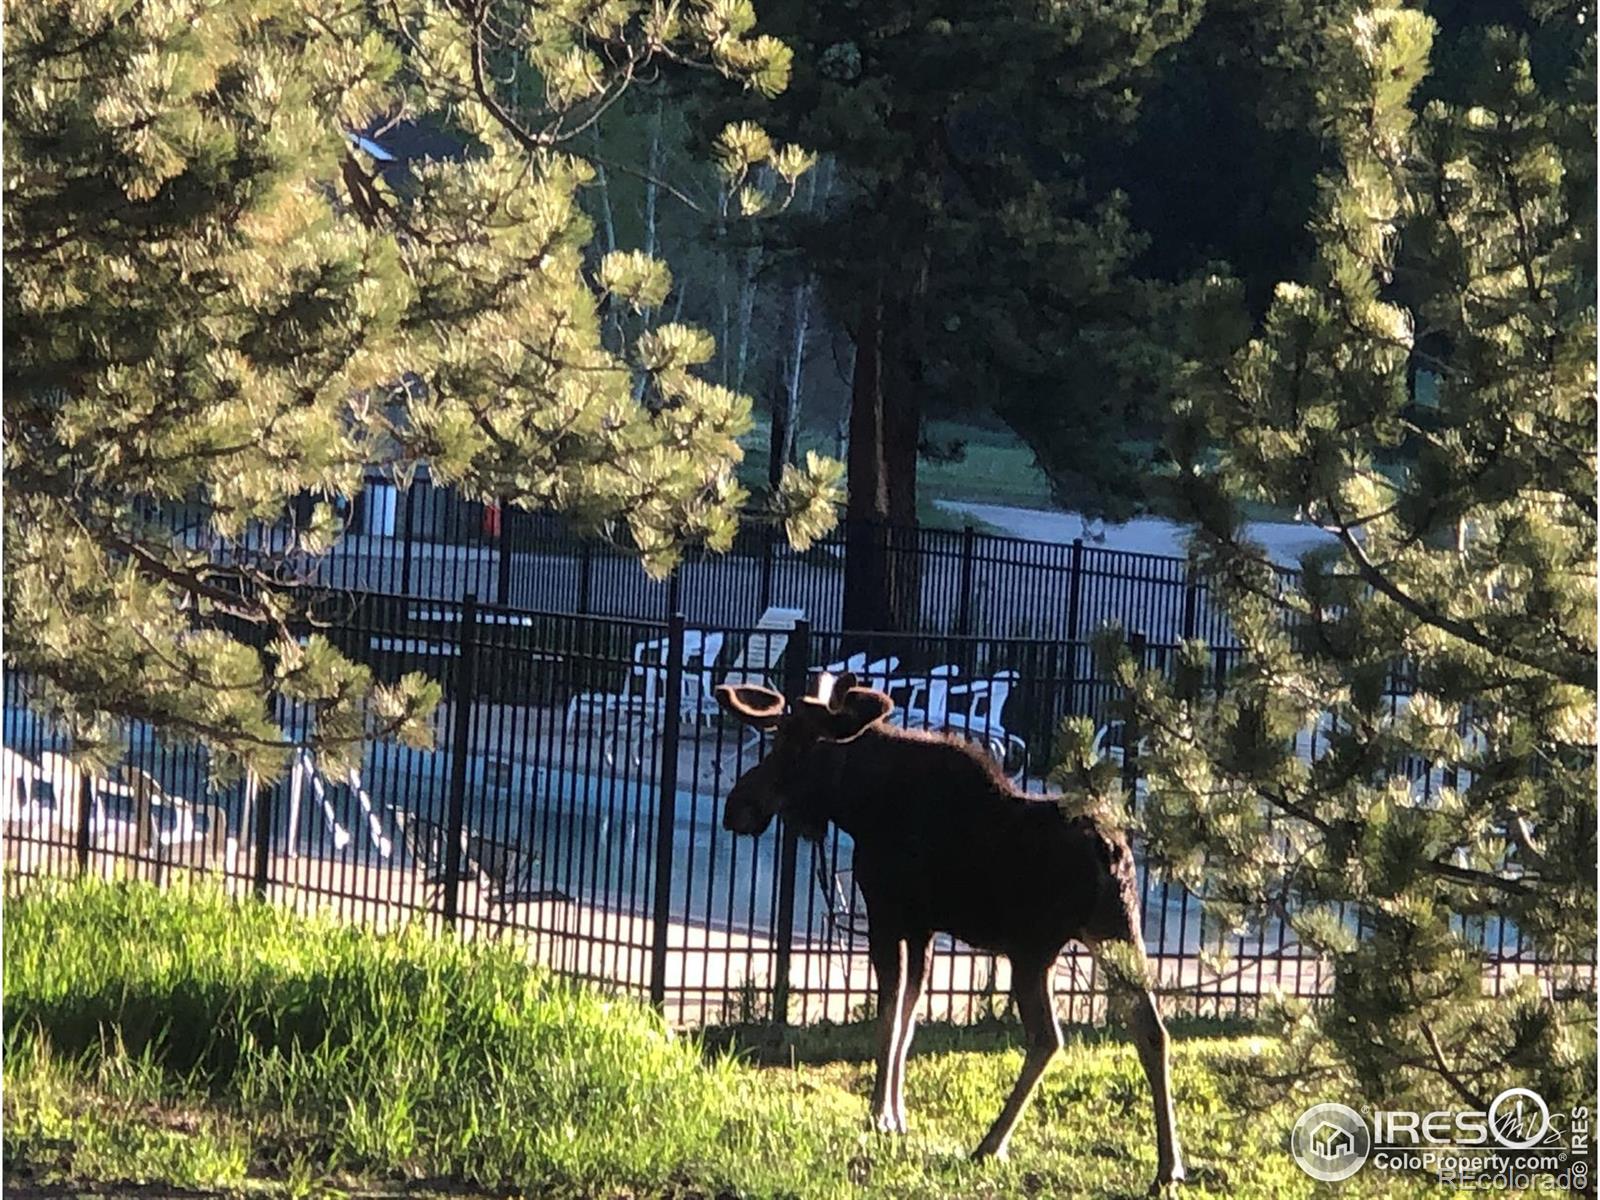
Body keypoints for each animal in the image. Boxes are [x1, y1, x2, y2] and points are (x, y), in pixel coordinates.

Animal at [720, 678, 1184, 1196]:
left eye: (799, 743)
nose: (738, 806)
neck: (858, 804)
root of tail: (1111, 853)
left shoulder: (887, 915)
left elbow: (887, 1020)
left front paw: (879, 1115)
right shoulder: (921, 928)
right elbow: (907, 1021)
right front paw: (897, 1115)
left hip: (1034, 951)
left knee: (1048, 1037)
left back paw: (991, 1143)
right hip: (1116, 935)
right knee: (1151, 1029)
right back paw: (1167, 1167)